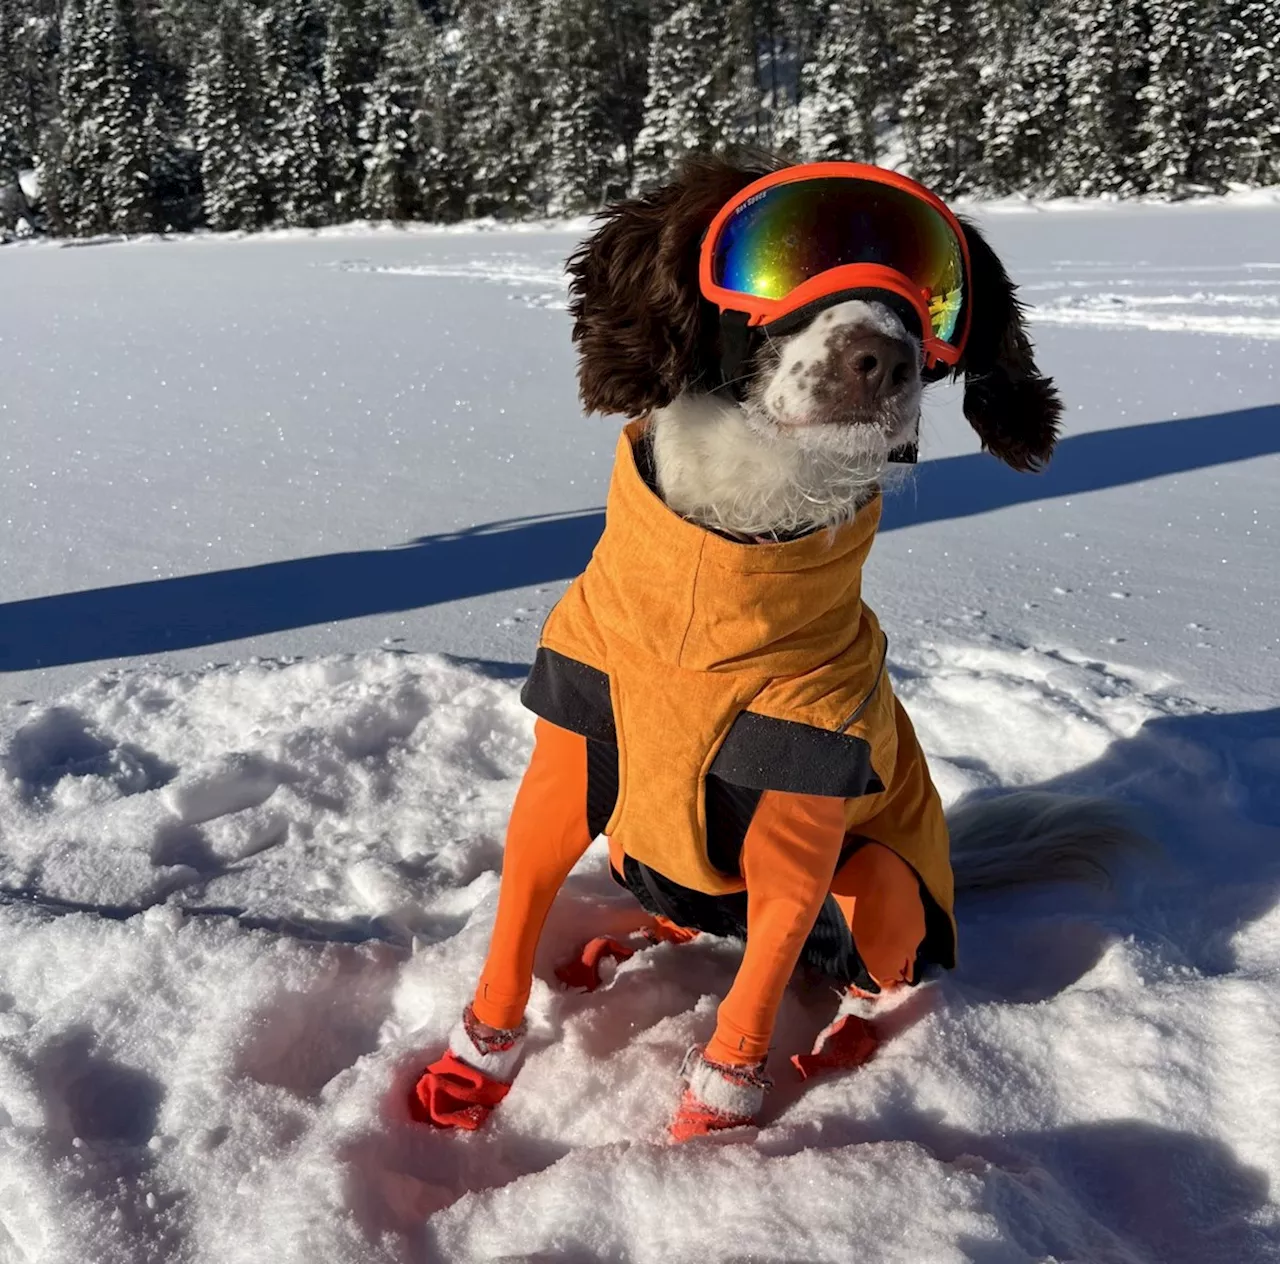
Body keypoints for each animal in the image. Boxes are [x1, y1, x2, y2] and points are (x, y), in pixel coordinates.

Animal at [412, 152, 1141, 1141]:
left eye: (932, 292)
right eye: (784, 258)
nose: (885, 357)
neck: (725, 563)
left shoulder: (802, 805)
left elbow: (747, 1008)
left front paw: (702, 1143)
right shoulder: (570, 755)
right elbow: (514, 928)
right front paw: (472, 1072)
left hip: (881, 879)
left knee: (866, 979)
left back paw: (840, 1040)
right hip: (641, 856)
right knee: (693, 925)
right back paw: (618, 949)